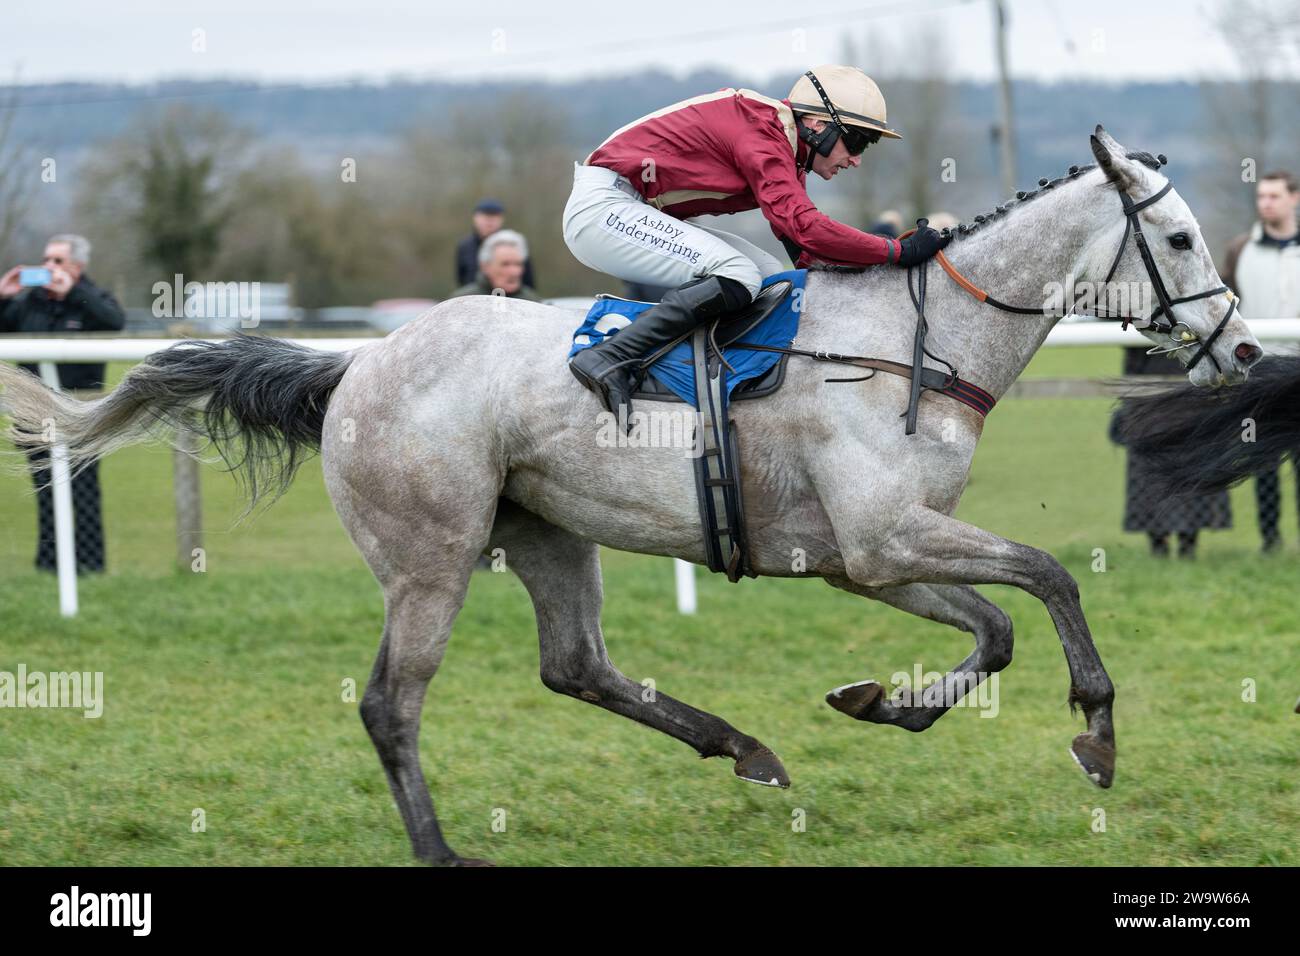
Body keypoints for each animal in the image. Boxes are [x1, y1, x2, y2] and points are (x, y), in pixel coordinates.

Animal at [0, 127, 1258, 868]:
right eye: (1178, 233)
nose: (1242, 350)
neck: (914, 342)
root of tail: (353, 365)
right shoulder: (886, 537)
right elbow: (1045, 576)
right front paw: (1095, 729)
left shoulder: (863, 554)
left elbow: (994, 626)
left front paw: (878, 702)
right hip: (430, 556)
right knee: (391, 703)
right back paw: (444, 850)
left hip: (549, 533)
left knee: (576, 665)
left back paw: (744, 745)